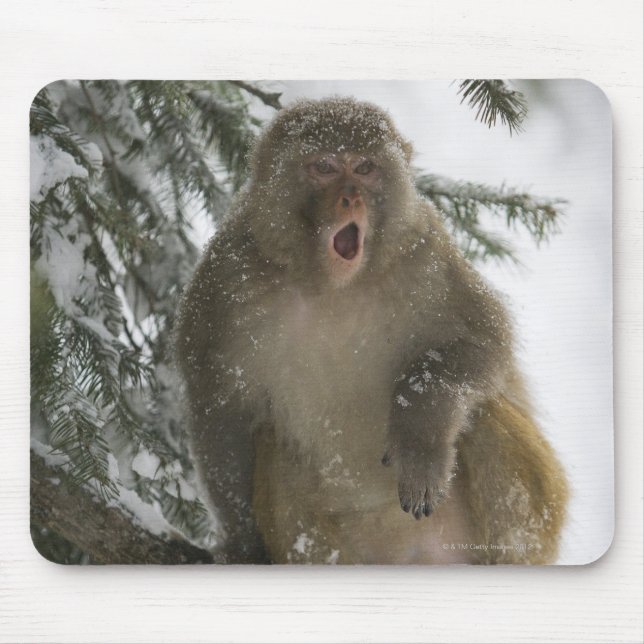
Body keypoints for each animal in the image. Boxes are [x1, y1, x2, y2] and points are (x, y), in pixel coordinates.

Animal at [175, 96, 568, 564]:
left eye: (364, 168)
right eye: (325, 167)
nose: (350, 198)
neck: (332, 288)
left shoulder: (425, 253)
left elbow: (483, 342)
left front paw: (418, 439)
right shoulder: (224, 282)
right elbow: (222, 412)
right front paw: (242, 543)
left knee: (482, 414)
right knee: (273, 445)